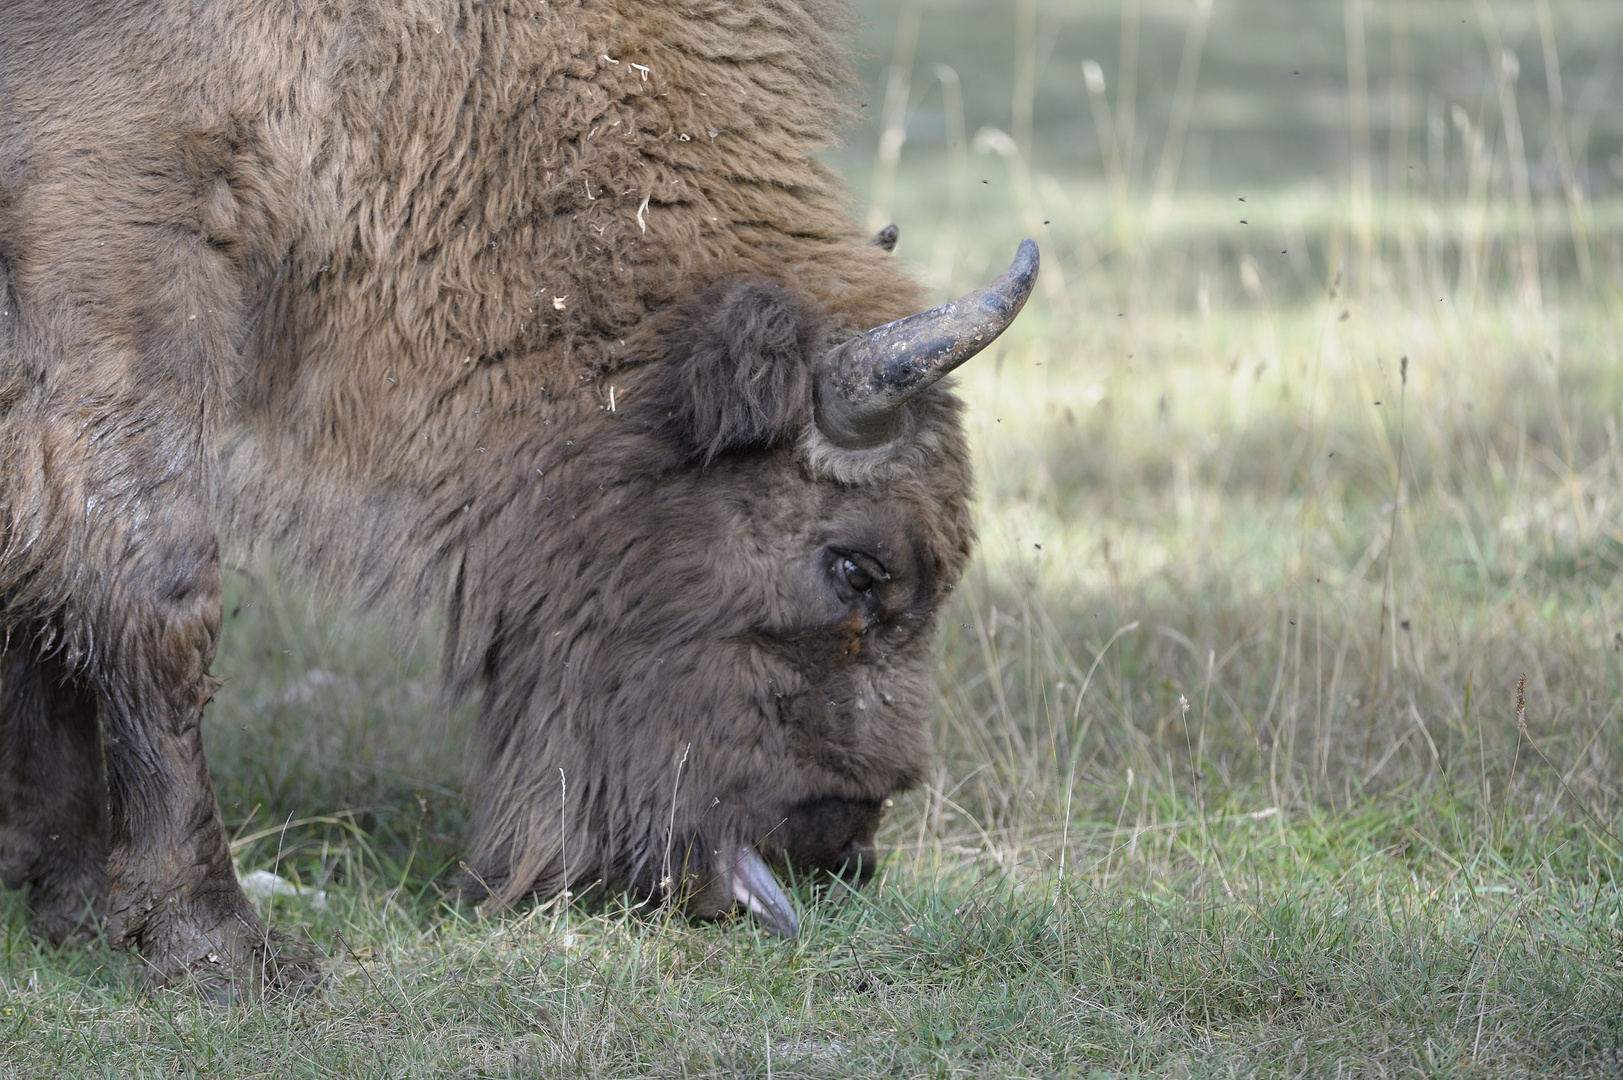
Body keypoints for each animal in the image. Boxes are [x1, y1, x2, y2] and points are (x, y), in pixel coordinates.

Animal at [0, 0, 1038, 987]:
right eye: (856, 566)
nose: (839, 846)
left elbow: (42, 602)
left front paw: (72, 903)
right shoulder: (121, 258)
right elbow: (155, 602)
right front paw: (216, 946)